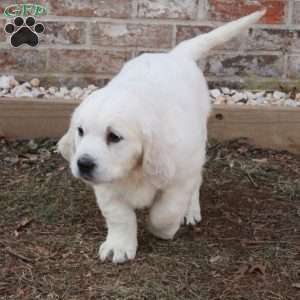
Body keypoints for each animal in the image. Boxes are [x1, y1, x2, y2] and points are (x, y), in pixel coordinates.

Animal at [58, 9, 264, 262]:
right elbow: (119, 216)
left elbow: (165, 212)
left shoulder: (180, 177)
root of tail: (175, 55)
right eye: (80, 131)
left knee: (197, 181)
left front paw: (163, 230)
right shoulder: (106, 187)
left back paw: (191, 210)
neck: (134, 171)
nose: (83, 164)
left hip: (197, 147)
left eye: (114, 137)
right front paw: (119, 245)